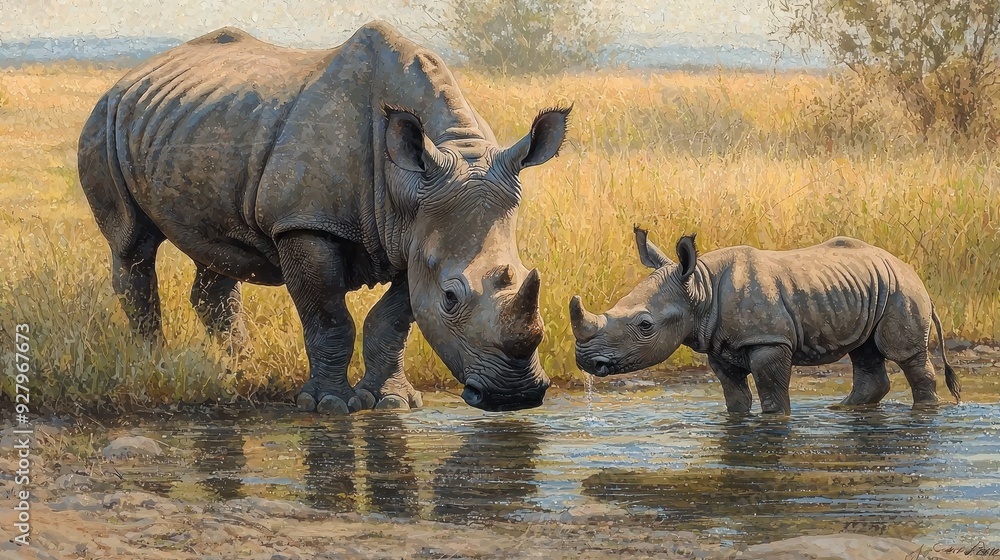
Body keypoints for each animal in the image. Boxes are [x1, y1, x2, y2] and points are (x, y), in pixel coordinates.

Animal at [78, 22, 570, 413]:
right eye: (451, 297)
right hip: (103, 119)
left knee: (214, 254)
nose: (515, 396)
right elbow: (329, 317)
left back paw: (240, 372)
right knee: (132, 245)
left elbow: (394, 319)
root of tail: (130, 76)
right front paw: (329, 404)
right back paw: (154, 363)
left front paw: (392, 402)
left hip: (191, 121)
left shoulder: (416, 235)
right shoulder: (305, 222)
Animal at [570, 228, 961, 414]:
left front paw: (776, 419)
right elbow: (735, 397)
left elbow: (773, 394)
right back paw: (843, 408)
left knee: (903, 354)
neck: (700, 288)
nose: (587, 361)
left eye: (645, 325)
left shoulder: (768, 340)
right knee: (864, 351)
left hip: (900, 289)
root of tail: (911, 270)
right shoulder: (718, 345)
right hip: (868, 286)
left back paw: (924, 410)